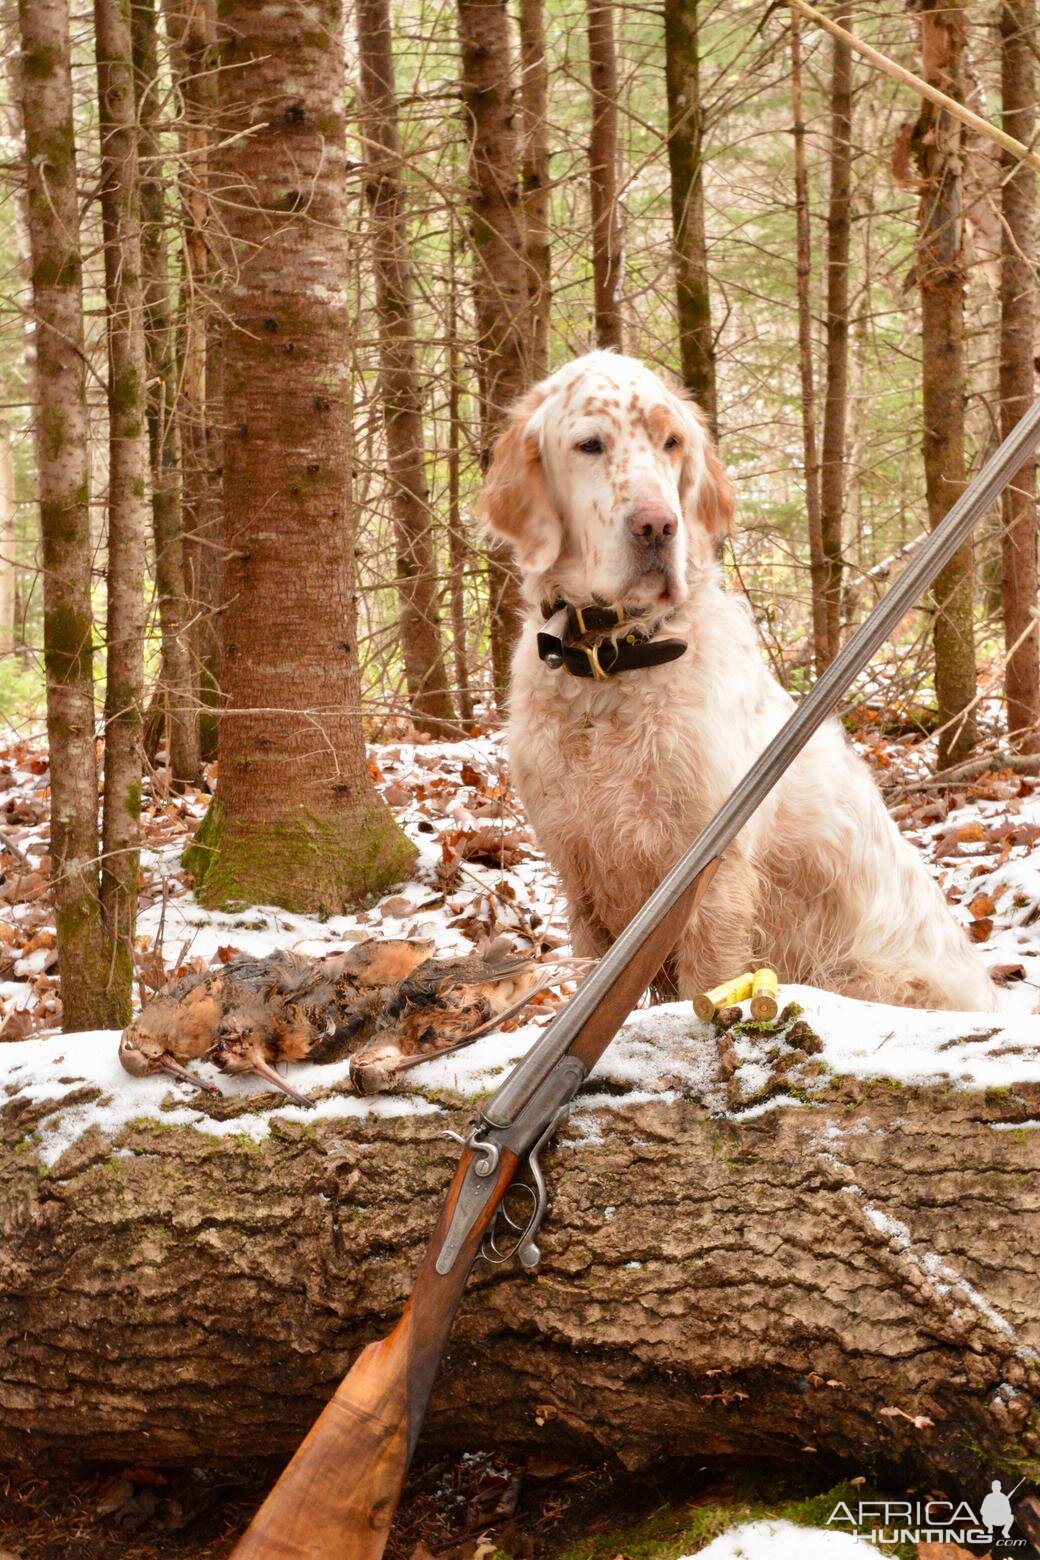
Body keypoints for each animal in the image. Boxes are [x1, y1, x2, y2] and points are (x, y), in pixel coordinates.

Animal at [483, 352, 997, 1010]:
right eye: (589, 444)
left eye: (672, 443)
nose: (657, 526)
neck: (610, 670)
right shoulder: (580, 880)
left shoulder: (713, 879)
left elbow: (706, 979)